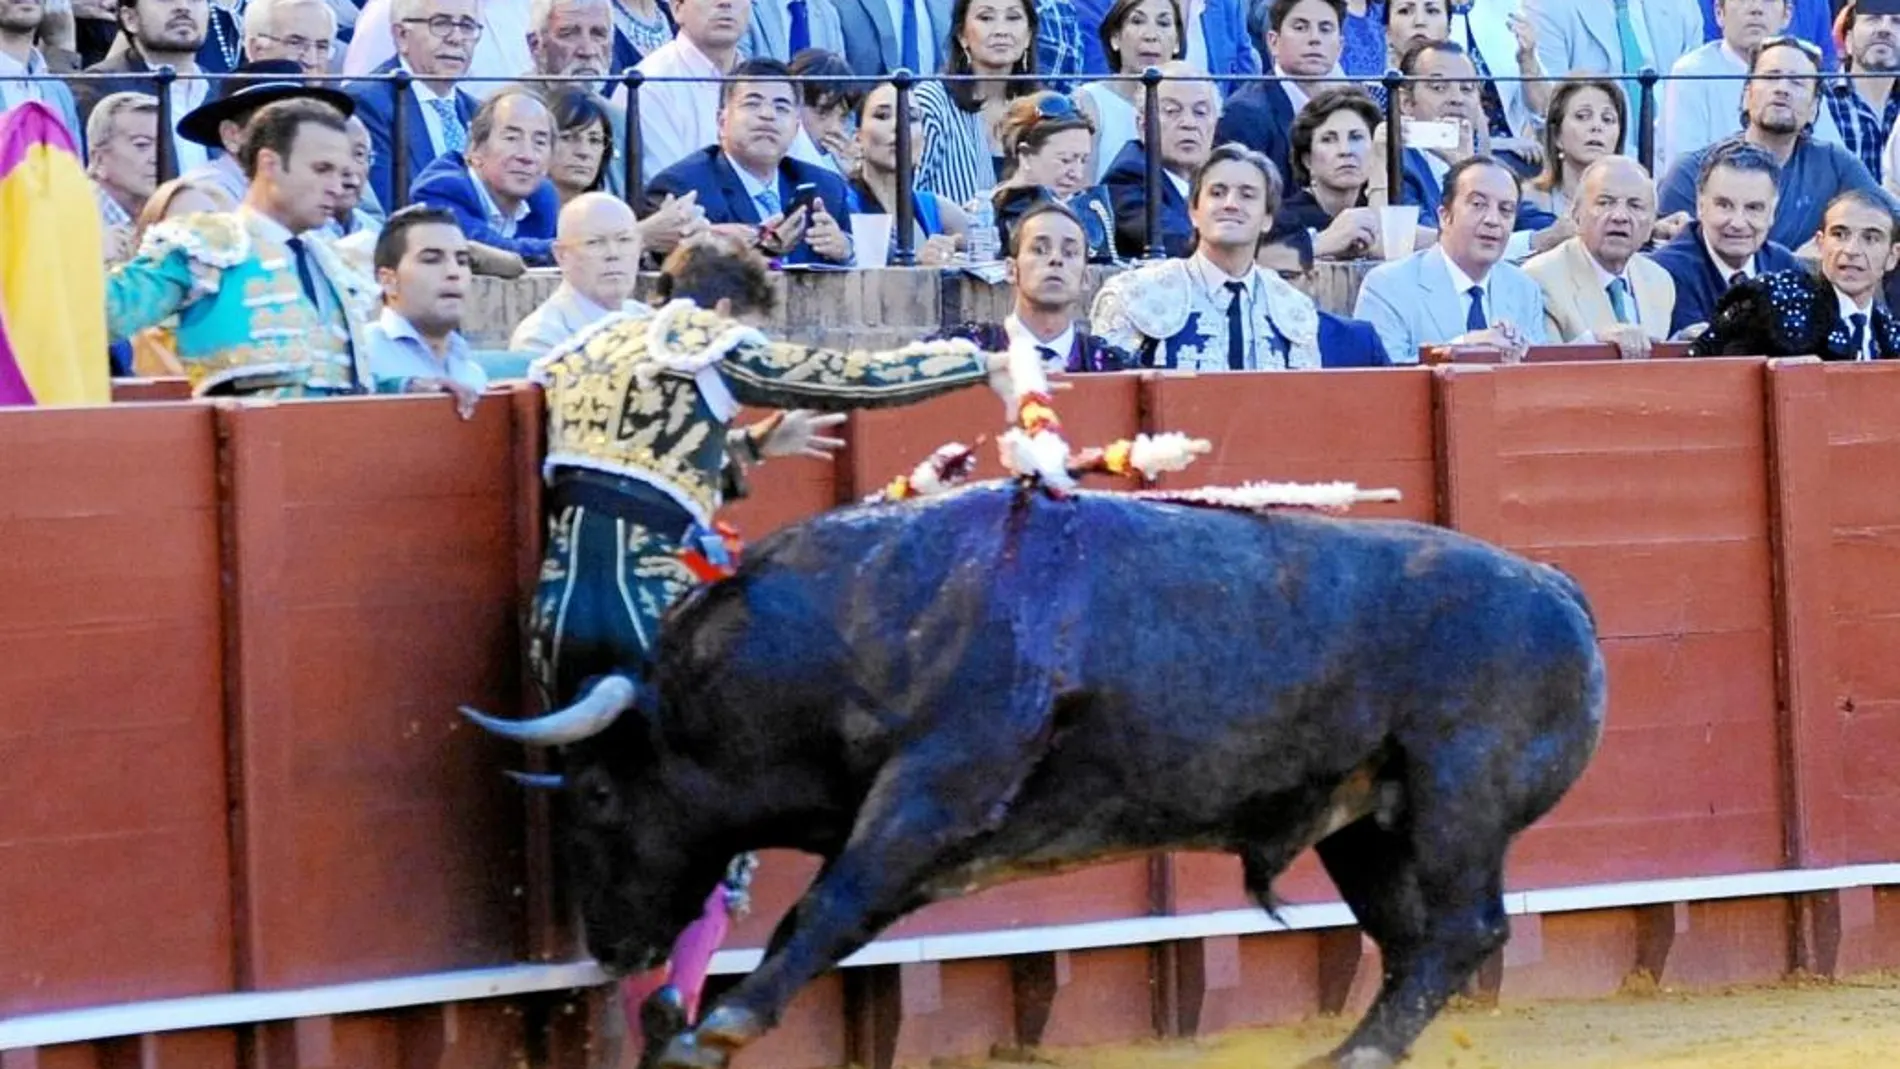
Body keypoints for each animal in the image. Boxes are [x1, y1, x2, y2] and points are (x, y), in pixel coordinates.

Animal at [463, 482, 1603, 1069]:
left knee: (1466, 928)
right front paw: (688, 1032)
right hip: (1362, 824)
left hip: (1458, 796)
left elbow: (820, 911)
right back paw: (1355, 1054)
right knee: (1414, 941)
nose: (612, 949)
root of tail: (1558, 587)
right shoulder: (922, 833)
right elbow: (826, 916)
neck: (854, 623)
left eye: (598, 794)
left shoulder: (930, 794)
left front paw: (720, 1030)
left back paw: (1352, 1056)